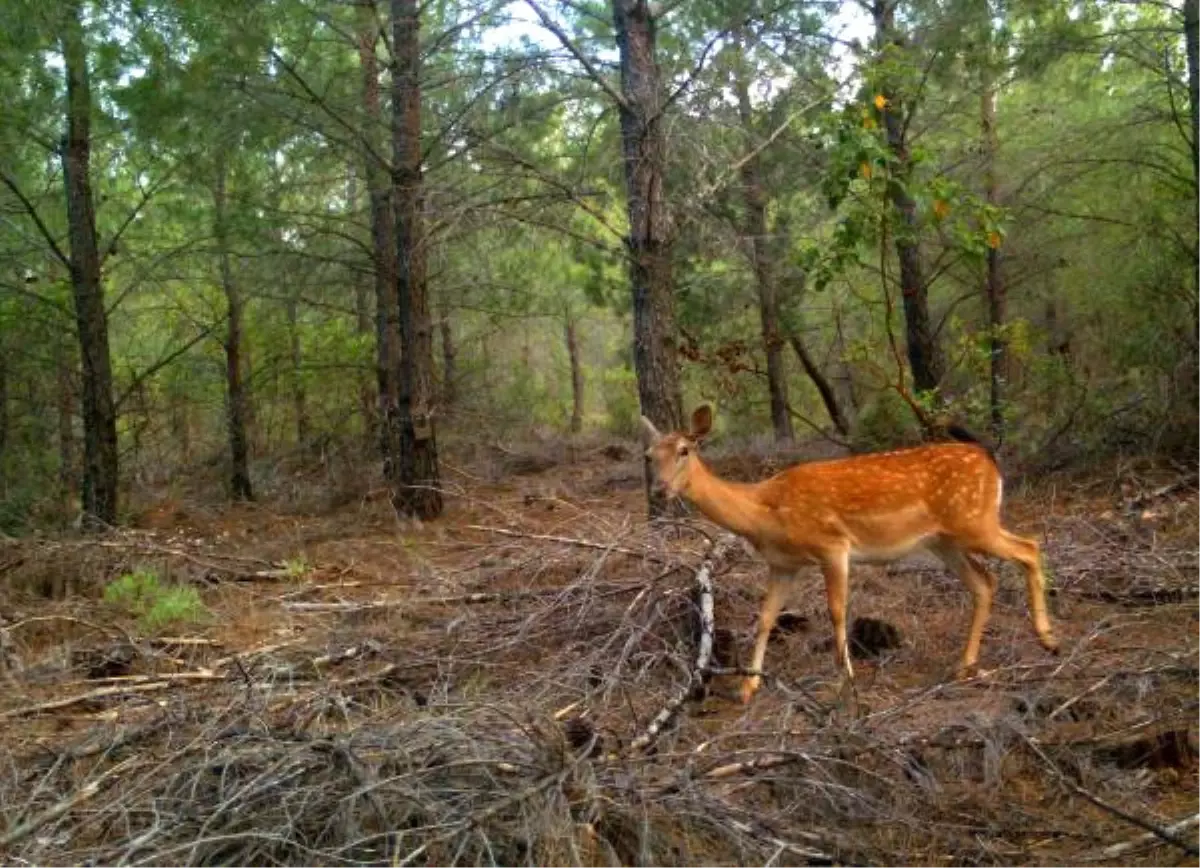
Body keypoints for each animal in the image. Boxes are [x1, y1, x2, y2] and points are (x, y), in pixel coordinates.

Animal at [638, 405, 1060, 705]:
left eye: (684, 450)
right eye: (648, 455)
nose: (659, 490)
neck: (764, 511)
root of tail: (988, 458)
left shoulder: (833, 545)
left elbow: (837, 611)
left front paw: (848, 680)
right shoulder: (783, 564)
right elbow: (765, 618)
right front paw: (747, 689)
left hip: (974, 521)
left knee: (1029, 548)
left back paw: (1048, 639)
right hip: (946, 540)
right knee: (985, 582)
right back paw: (965, 665)